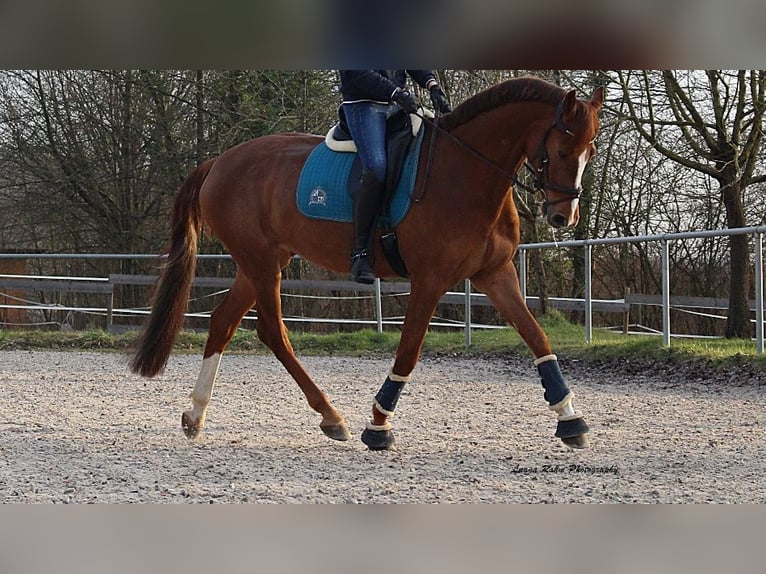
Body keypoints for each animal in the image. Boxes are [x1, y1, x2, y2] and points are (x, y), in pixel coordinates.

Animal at [130, 76, 608, 452]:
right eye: (562, 149)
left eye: (590, 149)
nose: (563, 217)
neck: (465, 173)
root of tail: (219, 162)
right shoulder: (430, 280)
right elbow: (409, 351)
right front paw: (379, 424)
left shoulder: (495, 274)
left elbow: (537, 337)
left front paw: (570, 418)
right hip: (262, 262)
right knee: (272, 332)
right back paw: (331, 416)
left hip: (262, 261)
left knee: (223, 322)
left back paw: (196, 415)